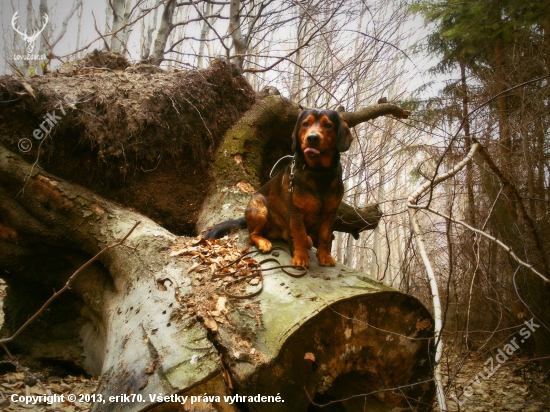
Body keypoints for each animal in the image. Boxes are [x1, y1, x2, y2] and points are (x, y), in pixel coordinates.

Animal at [206, 108, 354, 268]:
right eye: (305, 124)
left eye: (328, 125)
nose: (312, 138)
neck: (318, 172)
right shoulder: (295, 211)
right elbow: (300, 235)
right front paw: (301, 257)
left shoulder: (330, 213)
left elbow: (325, 237)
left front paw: (325, 256)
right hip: (260, 207)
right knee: (252, 235)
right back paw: (264, 242)